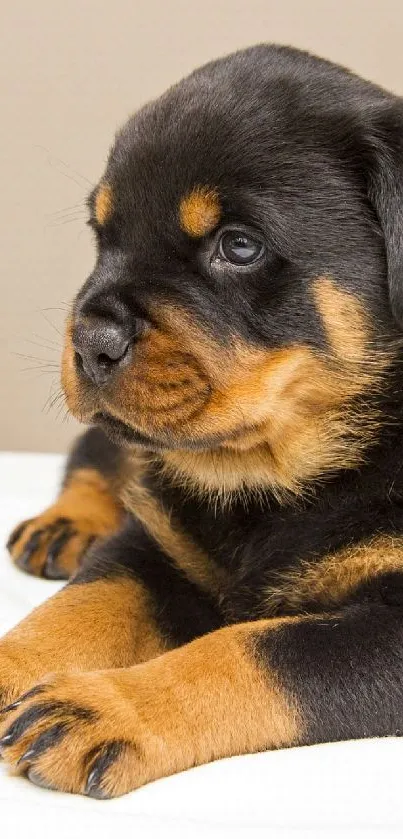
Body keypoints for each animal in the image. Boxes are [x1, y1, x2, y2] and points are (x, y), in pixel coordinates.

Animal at [0, 44, 403, 800]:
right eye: (103, 237)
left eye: (239, 246)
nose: (88, 339)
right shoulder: (157, 540)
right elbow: (85, 600)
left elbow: (254, 649)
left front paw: (105, 705)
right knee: (95, 455)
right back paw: (65, 524)